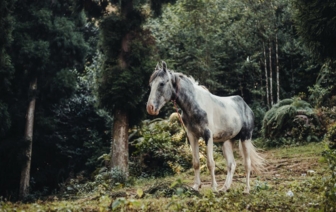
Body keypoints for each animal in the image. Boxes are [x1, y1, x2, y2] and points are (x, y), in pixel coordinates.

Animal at [147, 61, 266, 194]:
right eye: (150, 84)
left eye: (162, 83)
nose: (150, 108)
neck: (195, 104)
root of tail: (246, 106)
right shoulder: (192, 136)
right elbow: (196, 162)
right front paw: (195, 187)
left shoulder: (208, 135)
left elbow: (210, 163)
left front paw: (213, 188)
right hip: (227, 142)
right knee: (231, 164)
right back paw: (224, 188)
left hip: (245, 138)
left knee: (247, 163)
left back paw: (246, 189)